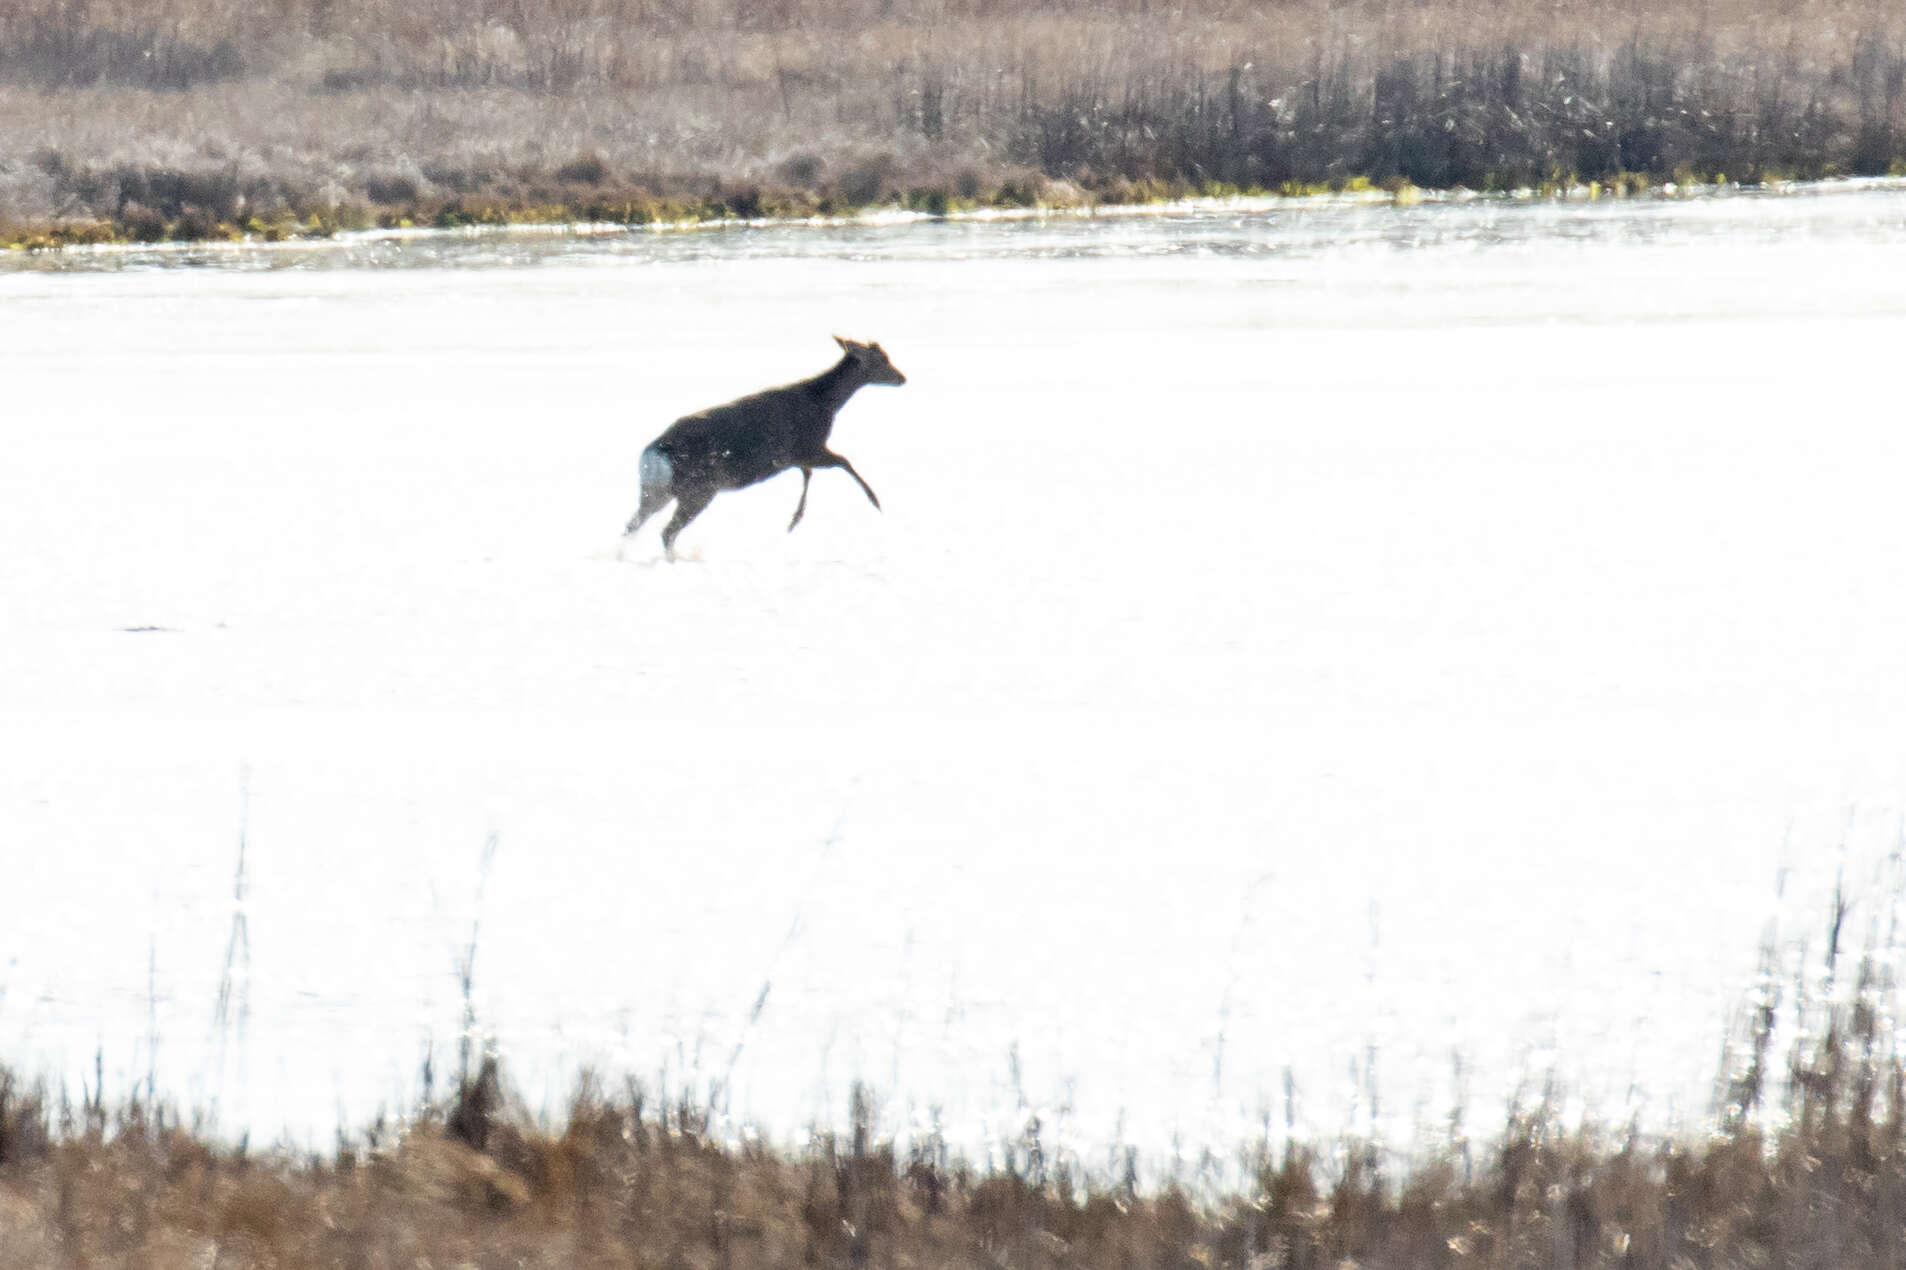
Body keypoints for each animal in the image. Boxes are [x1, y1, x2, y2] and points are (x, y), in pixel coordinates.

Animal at [617, 333, 899, 556]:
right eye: (882, 360)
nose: (902, 378)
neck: (826, 406)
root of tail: (653, 455)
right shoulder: (808, 447)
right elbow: (843, 461)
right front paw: (875, 501)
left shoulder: (798, 456)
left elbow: (809, 474)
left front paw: (794, 519)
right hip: (698, 489)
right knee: (667, 531)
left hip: (656, 492)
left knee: (632, 525)